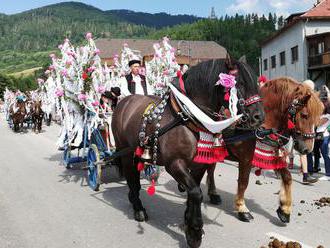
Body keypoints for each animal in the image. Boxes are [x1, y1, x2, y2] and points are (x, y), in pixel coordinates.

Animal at [112, 56, 264, 248]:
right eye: (241, 83)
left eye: (256, 83)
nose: (259, 117)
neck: (188, 117)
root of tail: (124, 102)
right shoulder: (174, 164)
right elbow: (196, 193)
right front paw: (194, 231)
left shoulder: (199, 165)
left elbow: (194, 191)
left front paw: (187, 221)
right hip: (125, 152)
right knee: (131, 178)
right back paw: (138, 208)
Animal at [205, 77, 324, 223]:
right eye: (304, 115)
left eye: (318, 117)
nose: (307, 149)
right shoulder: (246, 158)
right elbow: (243, 182)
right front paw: (242, 208)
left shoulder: (273, 156)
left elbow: (287, 177)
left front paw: (285, 209)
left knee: (210, 169)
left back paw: (213, 194)